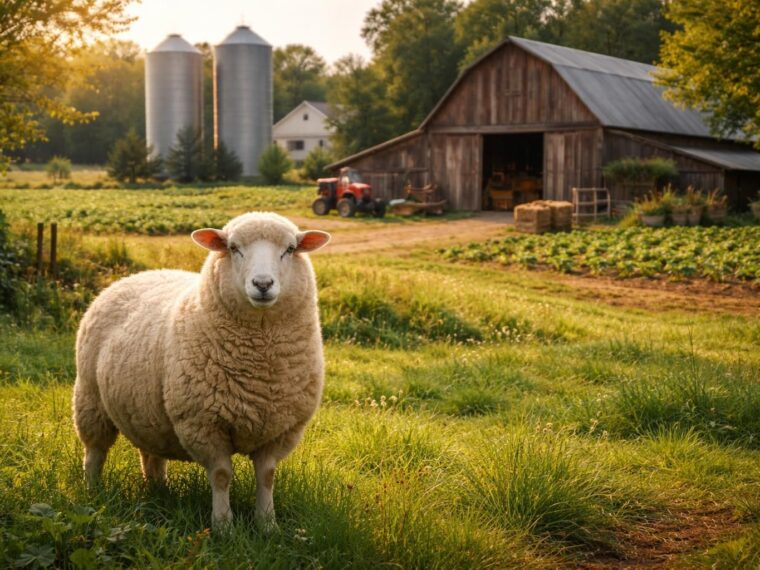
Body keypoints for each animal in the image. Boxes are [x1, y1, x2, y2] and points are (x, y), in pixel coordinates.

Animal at [72, 212, 330, 529]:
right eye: (233, 248)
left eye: (290, 249)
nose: (262, 283)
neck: (261, 362)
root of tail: (136, 275)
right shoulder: (202, 422)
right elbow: (221, 476)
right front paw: (223, 525)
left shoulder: (282, 428)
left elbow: (267, 477)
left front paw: (267, 524)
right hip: (90, 399)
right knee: (94, 453)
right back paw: (93, 493)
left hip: (145, 411)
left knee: (150, 453)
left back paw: (158, 492)